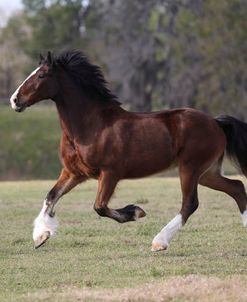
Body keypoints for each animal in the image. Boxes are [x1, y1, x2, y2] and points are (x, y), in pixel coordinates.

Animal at [9, 50, 247, 251]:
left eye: (41, 75)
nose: (14, 100)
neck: (90, 126)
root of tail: (216, 123)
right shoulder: (74, 173)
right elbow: (51, 197)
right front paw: (41, 236)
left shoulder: (110, 173)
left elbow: (99, 206)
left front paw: (135, 212)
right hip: (207, 172)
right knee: (237, 187)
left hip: (190, 168)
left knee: (190, 203)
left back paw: (159, 242)